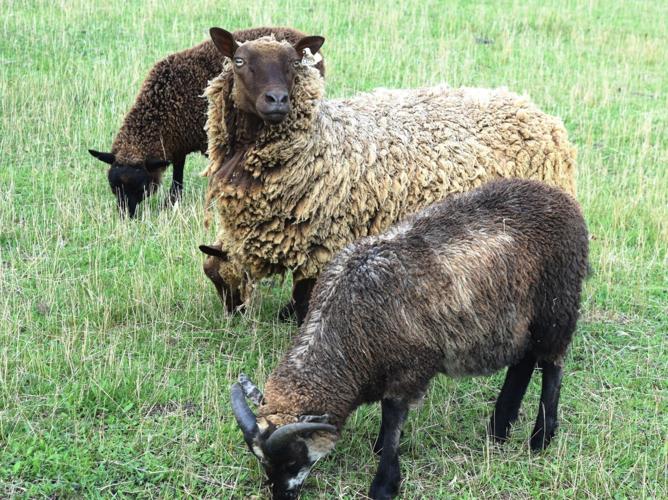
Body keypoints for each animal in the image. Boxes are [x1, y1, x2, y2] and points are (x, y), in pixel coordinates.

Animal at [88, 27, 325, 218]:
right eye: (113, 186)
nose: (126, 217)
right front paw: (172, 202)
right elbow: (178, 172)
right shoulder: (178, 141)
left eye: (143, 187)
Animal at [200, 29, 577, 323]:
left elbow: (305, 289)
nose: (277, 100)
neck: (321, 140)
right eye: (239, 61)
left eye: (294, 63)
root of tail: (537, 113)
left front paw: (298, 319)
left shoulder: (323, 238)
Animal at [229, 178, 590, 499]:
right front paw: (379, 451)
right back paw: (499, 429)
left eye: (293, 459)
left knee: (552, 367)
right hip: (520, 320)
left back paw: (540, 438)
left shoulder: (410, 367)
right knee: (523, 362)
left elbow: (393, 418)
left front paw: (384, 483)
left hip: (557, 304)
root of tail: (561, 197)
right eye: (262, 461)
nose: (280, 496)